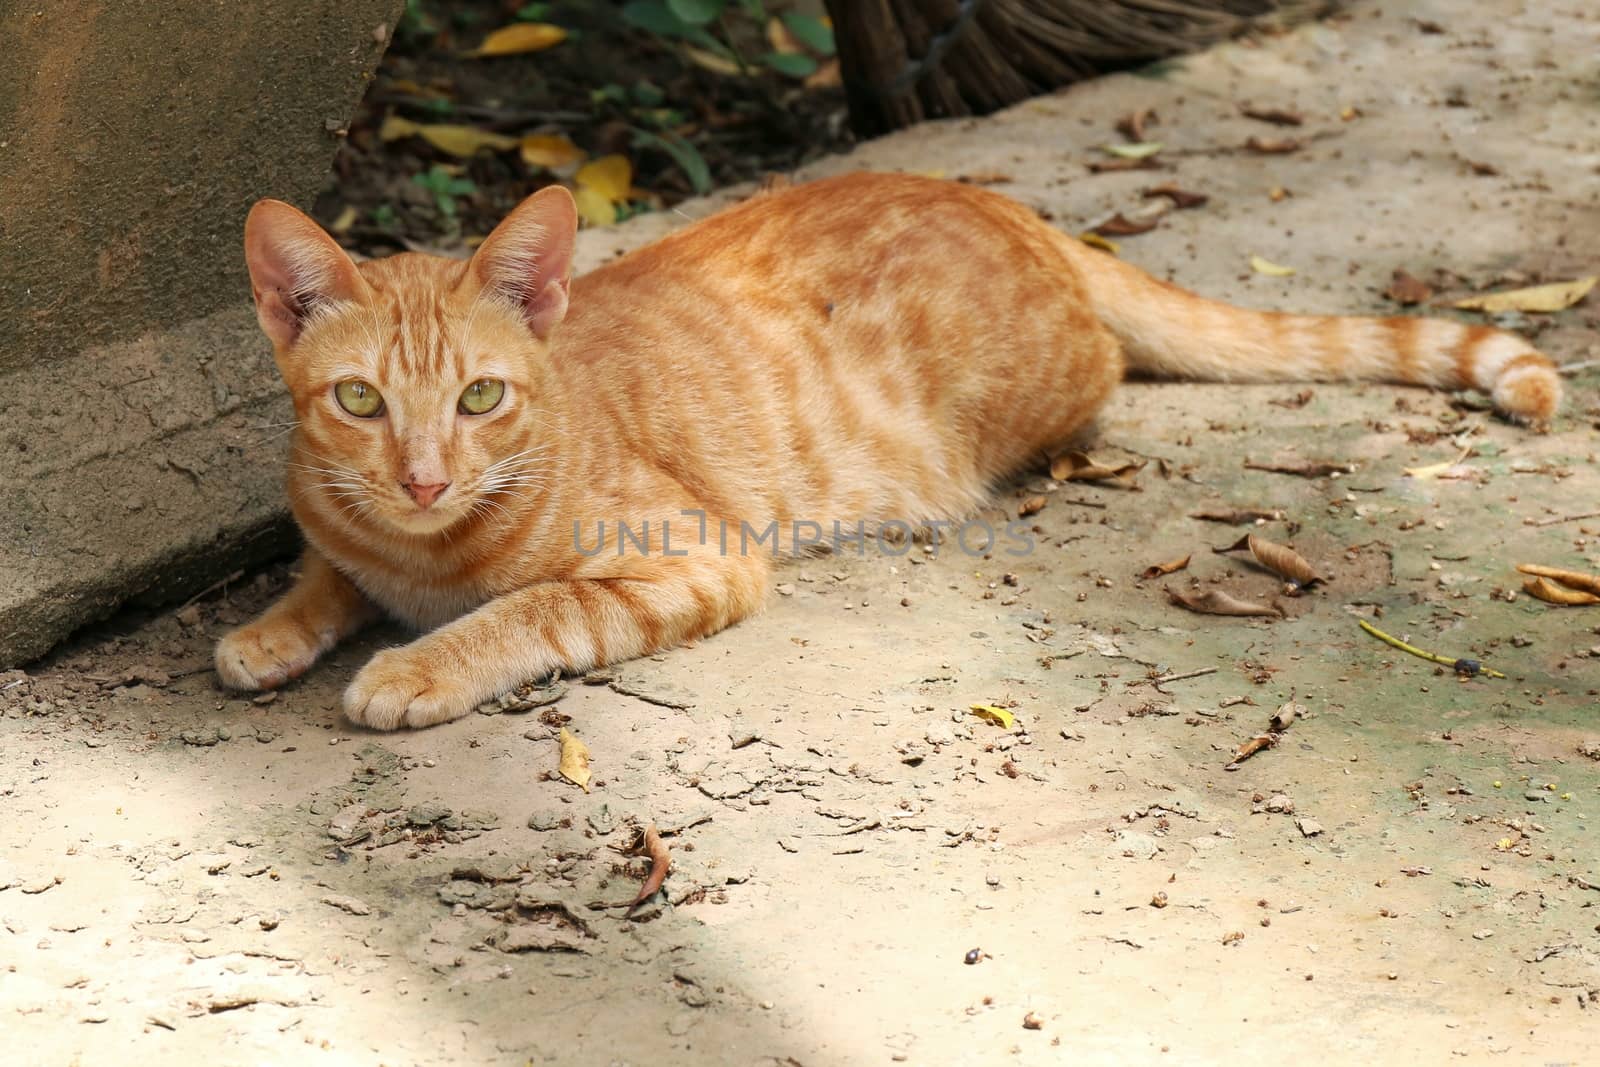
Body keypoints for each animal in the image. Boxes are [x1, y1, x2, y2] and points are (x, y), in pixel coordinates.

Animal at [216, 171, 1561, 729]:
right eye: (360, 401)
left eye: (483, 395)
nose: (425, 475)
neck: (421, 549)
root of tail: (1007, 200)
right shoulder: (342, 523)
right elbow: (323, 571)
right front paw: (272, 628)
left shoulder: (697, 558)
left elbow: (529, 609)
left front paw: (415, 665)